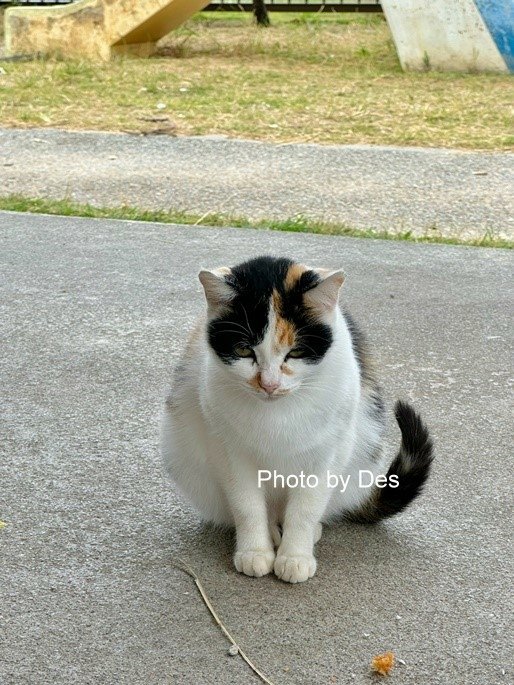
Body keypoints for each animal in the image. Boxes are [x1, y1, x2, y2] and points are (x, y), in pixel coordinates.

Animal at [161, 255, 432, 584]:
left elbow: (305, 509)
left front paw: (295, 556)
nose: (269, 384)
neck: (277, 413)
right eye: (243, 350)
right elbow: (246, 505)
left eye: (297, 352)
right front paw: (255, 551)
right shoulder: (228, 452)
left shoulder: (327, 453)